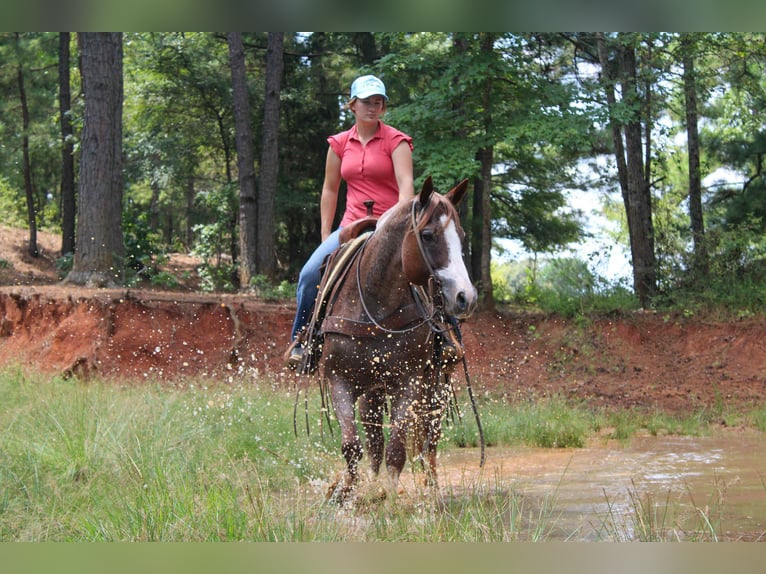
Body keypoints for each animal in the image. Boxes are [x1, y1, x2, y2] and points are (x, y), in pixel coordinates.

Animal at [317, 176, 478, 502]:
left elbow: (397, 450)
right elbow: (354, 446)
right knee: (375, 441)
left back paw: (430, 486)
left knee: (429, 440)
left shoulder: (408, 384)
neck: (375, 307)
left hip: (436, 388)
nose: (465, 297)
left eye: (461, 236)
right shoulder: (340, 380)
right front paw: (346, 491)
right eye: (427, 235)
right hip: (374, 392)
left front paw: (390, 499)